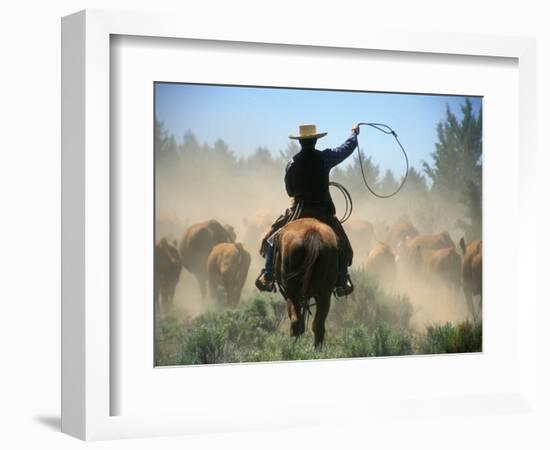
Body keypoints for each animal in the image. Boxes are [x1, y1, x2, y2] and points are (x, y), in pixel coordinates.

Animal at [276, 218, 340, 348]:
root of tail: (312, 233)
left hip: (292, 292)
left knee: (296, 321)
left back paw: (292, 348)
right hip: (324, 294)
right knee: (318, 326)